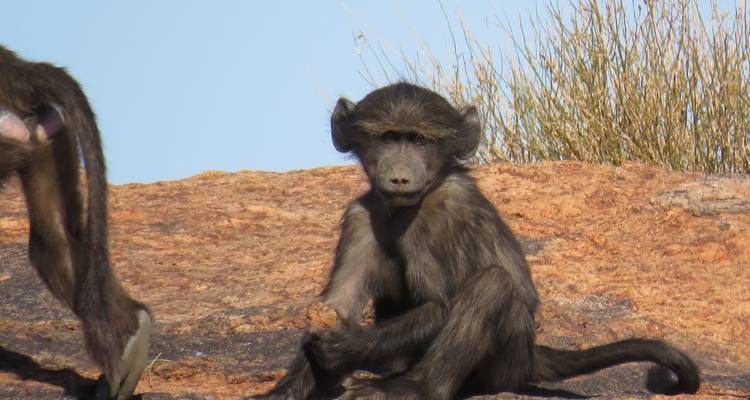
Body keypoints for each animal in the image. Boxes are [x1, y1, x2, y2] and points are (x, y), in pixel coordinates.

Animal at [256, 82, 700, 399]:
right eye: (388, 138)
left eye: (419, 140)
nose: (399, 177)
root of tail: (531, 356)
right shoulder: (361, 216)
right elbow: (337, 305)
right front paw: (284, 390)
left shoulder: (440, 215)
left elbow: (439, 305)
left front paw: (342, 347)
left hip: (504, 362)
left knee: (492, 285)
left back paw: (413, 388)